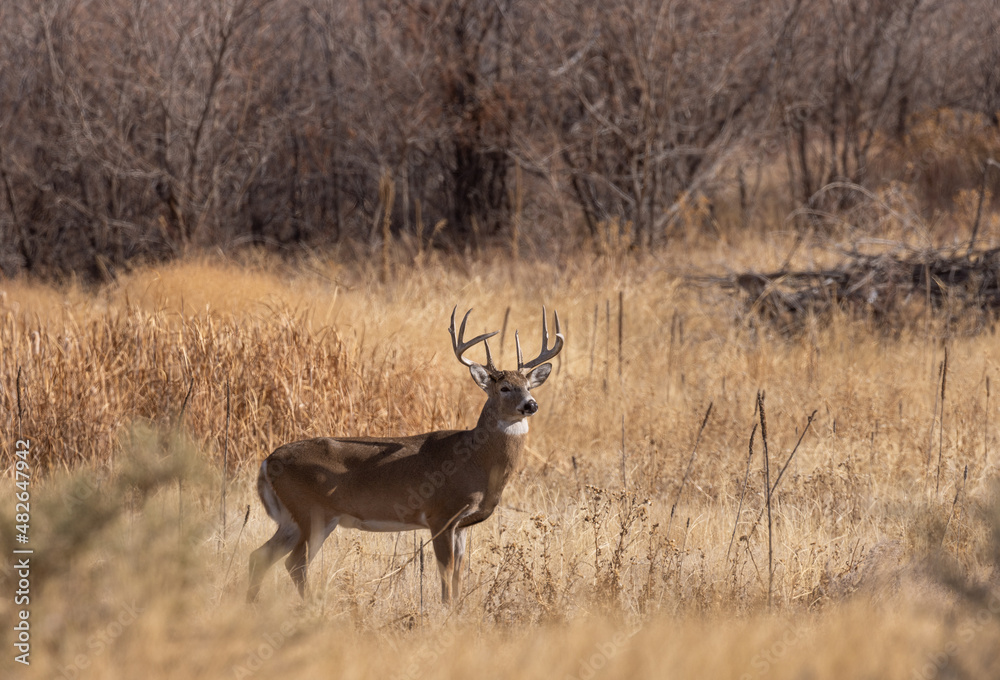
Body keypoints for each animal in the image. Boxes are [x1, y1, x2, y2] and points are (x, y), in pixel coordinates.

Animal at [247, 306, 564, 605]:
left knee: (259, 556)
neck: (476, 462)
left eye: (528, 386)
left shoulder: (461, 524)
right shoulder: (441, 513)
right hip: (314, 512)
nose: (531, 404)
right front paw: (446, 613)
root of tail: (268, 461)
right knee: (295, 563)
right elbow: (446, 573)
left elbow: (459, 575)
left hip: (292, 518)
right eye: (505, 387)